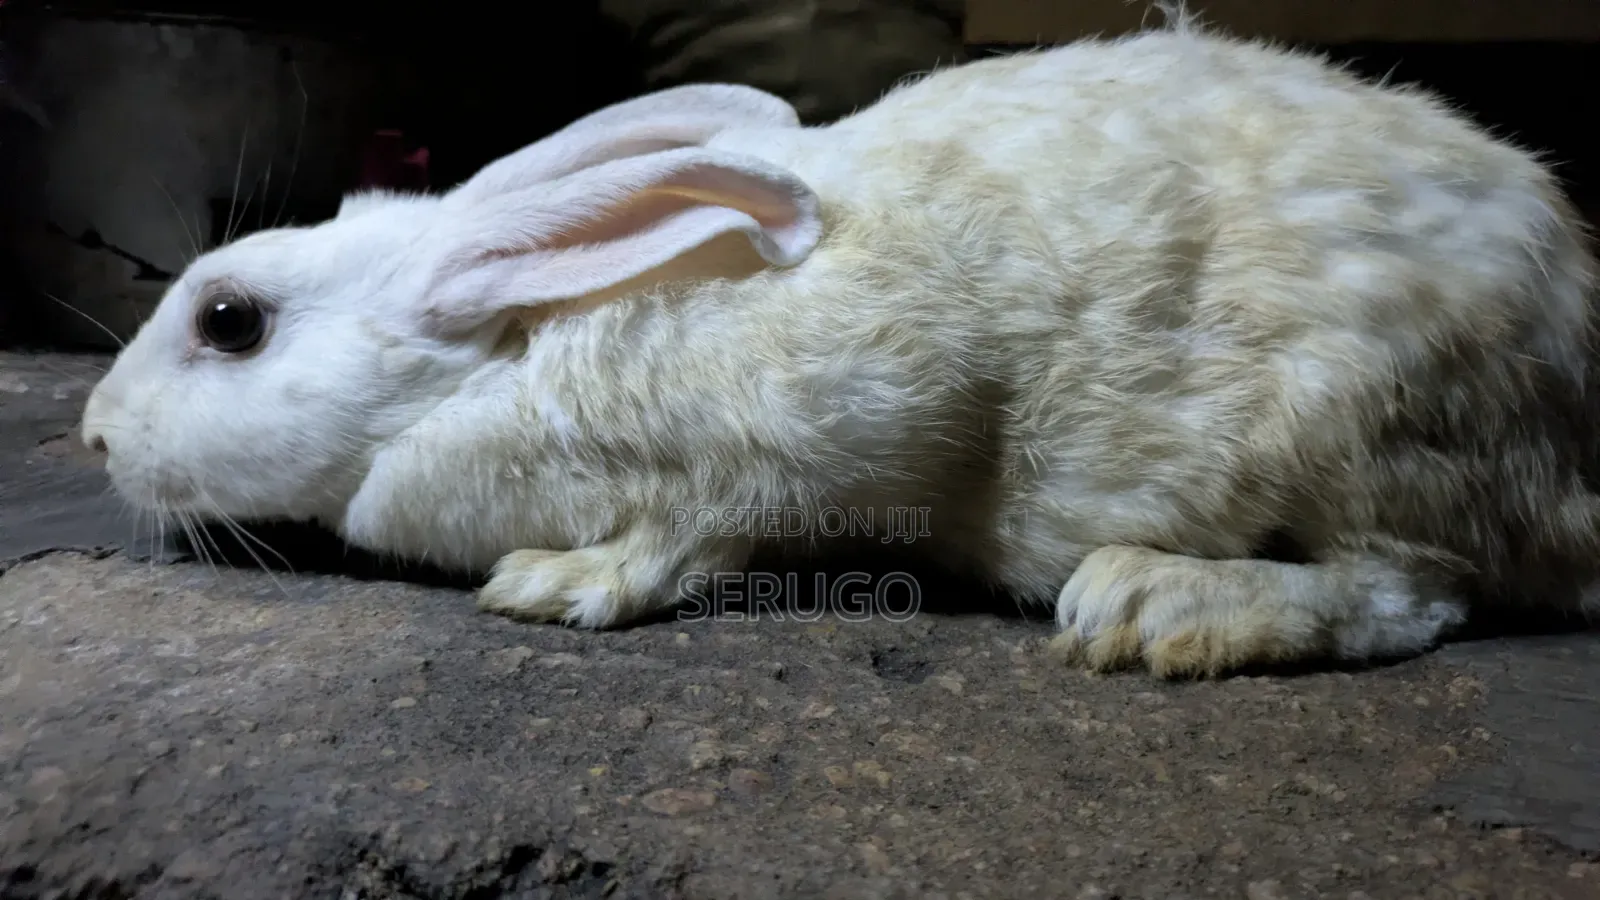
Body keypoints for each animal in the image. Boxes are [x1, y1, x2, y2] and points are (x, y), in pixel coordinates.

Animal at [80, 11, 1599, 678]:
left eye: (228, 321)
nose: (91, 434)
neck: (513, 345)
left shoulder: (827, 433)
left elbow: (700, 534)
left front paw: (559, 583)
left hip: (1365, 432)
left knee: (1416, 592)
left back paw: (1161, 607)